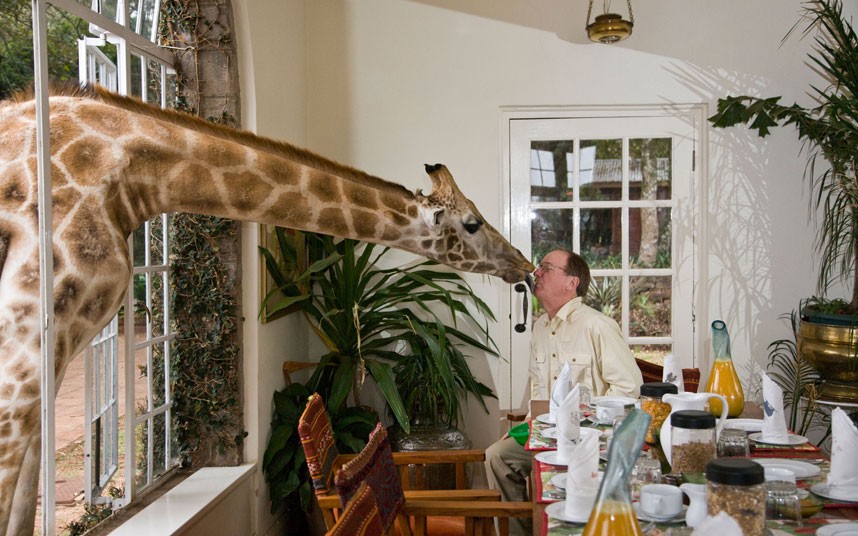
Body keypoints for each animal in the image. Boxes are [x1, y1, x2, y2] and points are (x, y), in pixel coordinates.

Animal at [0, 84, 534, 534]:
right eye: (471, 223)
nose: (524, 265)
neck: (134, 170)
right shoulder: (23, 338)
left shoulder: (48, 351)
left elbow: (23, 504)